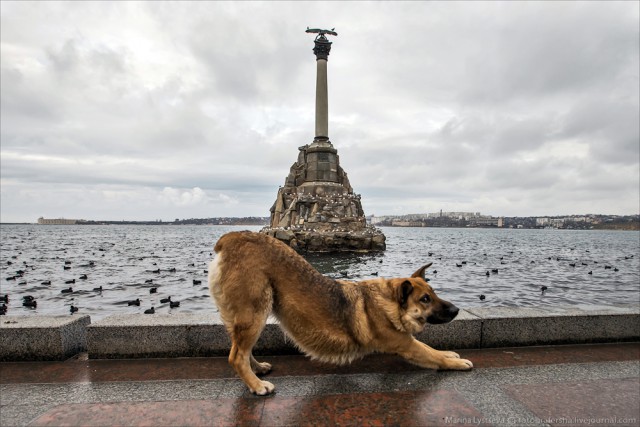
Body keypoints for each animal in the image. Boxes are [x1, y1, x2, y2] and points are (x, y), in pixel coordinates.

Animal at [208, 232, 472, 396]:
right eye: (425, 299)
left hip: (247, 316)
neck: (388, 301)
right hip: (255, 312)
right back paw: (256, 385)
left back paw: (257, 369)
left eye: (434, 294)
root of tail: (230, 238)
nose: (457, 310)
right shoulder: (405, 344)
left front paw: (450, 353)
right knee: (236, 356)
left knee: (241, 349)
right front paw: (455, 362)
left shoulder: (408, 340)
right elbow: (432, 355)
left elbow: (431, 348)